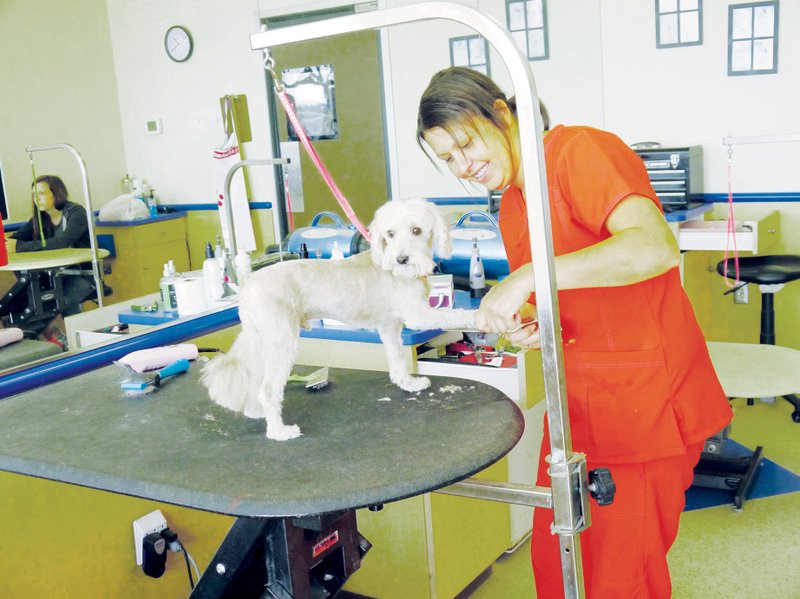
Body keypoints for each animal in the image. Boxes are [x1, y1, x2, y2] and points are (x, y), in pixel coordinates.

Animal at [199, 199, 476, 438]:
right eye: (390, 234)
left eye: (416, 230)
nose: (401, 259)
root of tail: (248, 286)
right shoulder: (420, 315)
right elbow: (457, 315)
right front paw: (479, 315)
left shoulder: (390, 327)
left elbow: (398, 362)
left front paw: (408, 384)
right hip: (282, 341)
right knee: (267, 390)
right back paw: (279, 431)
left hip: (262, 341)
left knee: (254, 381)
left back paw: (256, 412)